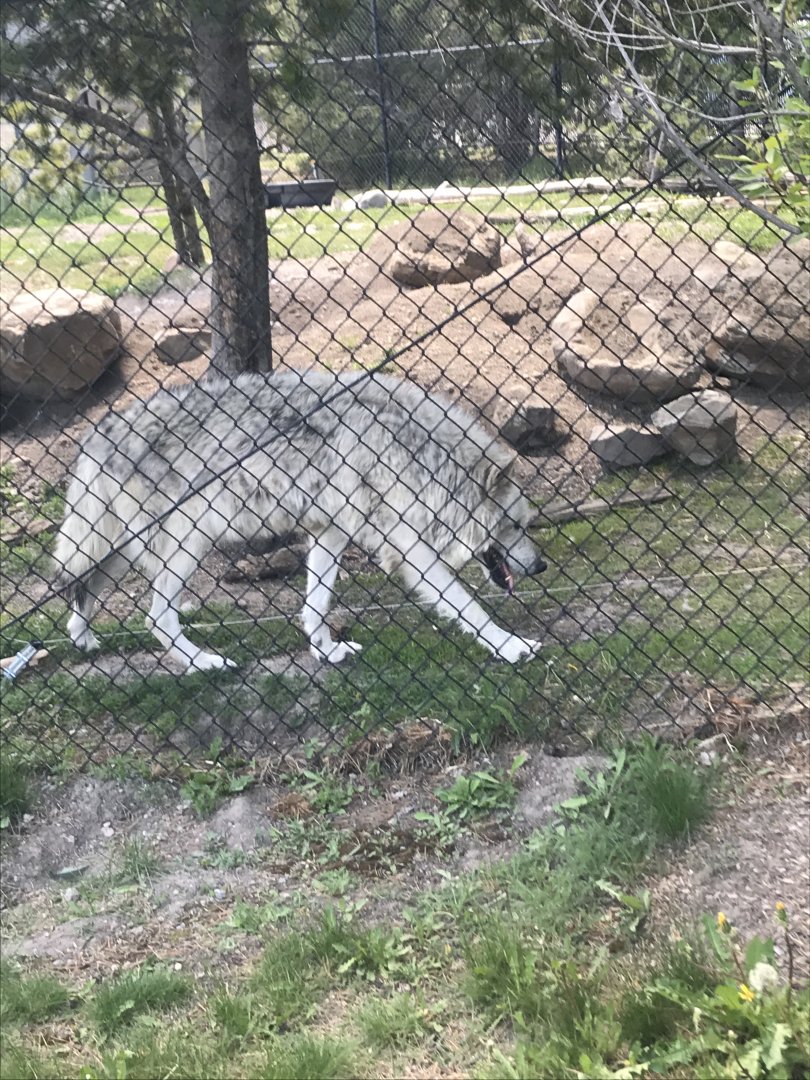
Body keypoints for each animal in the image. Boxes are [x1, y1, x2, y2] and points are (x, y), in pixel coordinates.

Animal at [54, 371, 547, 672]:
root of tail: (98, 432)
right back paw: (205, 663)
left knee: (80, 592)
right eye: (517, 526)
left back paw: (84, 641)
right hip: (188, 543)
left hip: (115, 549)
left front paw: (327, 651)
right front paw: (512, 647)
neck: (420, 453)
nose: (541, 566)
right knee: (155, 618)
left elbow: (315, 605)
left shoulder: (331, 531)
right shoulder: (408, 548)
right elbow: (468, 605)